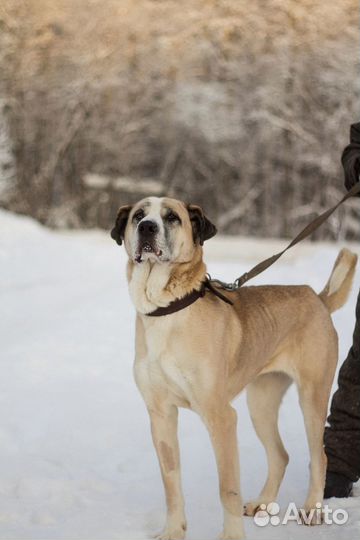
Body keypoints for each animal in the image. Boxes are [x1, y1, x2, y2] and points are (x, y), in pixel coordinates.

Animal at [110, 197, 358, 540]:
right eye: (138, 215)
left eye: (172, 217)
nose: (147, 228)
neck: (167, 309)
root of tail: (318, 299)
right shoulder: (161, 415)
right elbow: (171, 483)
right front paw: (173, 531)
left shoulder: (222, 417)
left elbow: (227, 488)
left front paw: (231, 536)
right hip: (260, 403)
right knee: (280, 455)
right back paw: (263, 503)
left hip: (312, 396)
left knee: (318, 456)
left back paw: (312, 508)